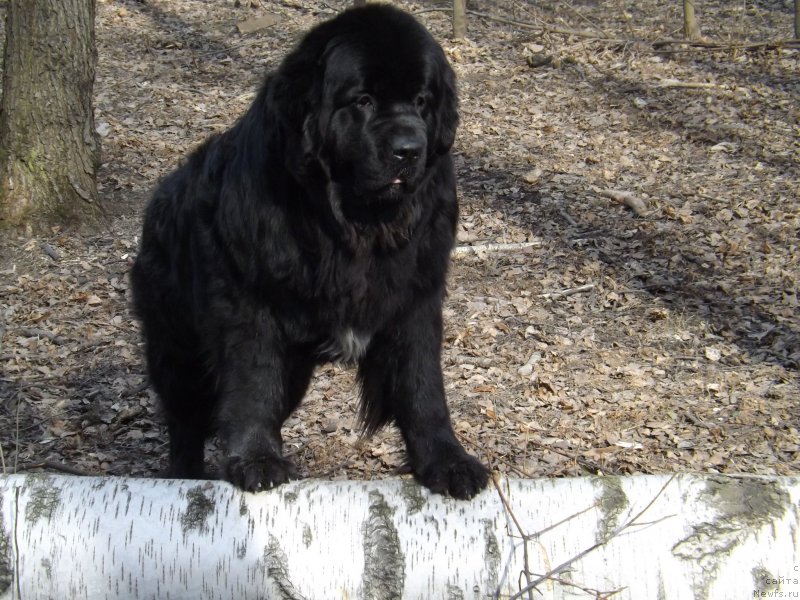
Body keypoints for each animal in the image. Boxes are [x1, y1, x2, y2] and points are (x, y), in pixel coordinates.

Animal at [131, 4, 488, 500]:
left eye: (422, 101)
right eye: (363, 101)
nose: (409, 149)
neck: (354, 227)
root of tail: (160, 194)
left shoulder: (416, 299)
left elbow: (423, 387)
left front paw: (447, 462)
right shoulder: (249, 303)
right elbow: (253, 383)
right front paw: (257, 459)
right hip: (178, 350)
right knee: (186, 422)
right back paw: (184, 480)